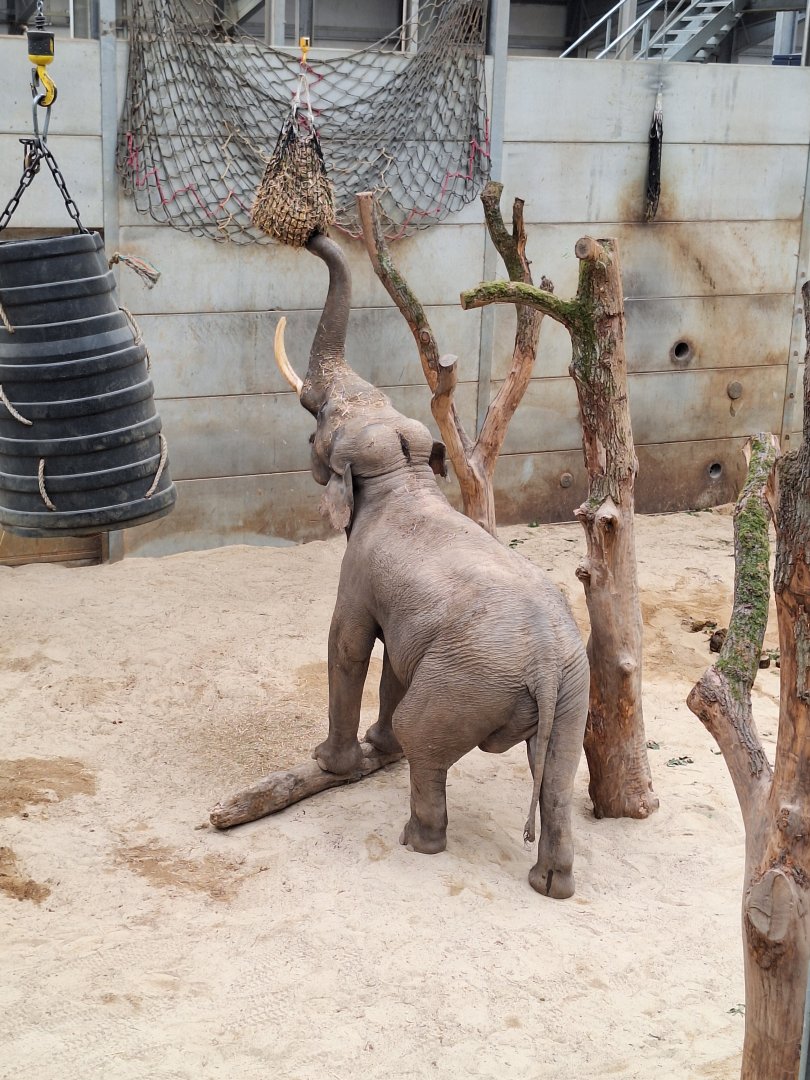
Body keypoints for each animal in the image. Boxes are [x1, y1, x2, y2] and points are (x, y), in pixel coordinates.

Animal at [274, 231, 590, 898]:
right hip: (575, 690)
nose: (312, 234)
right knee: (555, 775)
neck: (403, 471)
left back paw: (417, 840)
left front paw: (331, 763)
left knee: (428, 740)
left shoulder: (359, 572)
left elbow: (348, 644)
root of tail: (548, 666)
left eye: (320, 419)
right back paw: (551, 886)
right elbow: (394, 658)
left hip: (463, 683)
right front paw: (376, 748)